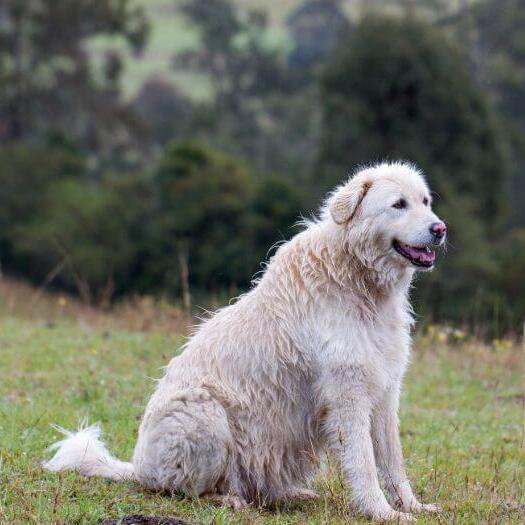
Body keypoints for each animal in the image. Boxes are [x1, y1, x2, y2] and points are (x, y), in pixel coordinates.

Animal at [44, 162, 446, 520]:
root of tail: (138, 468)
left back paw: (291, 494)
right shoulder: (348, 396)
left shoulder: (385, 393)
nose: (439, 229)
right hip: (205, 414)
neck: (358, 278)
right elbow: (364, 464)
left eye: (425, 201)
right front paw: (382, 513)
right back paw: (228, 500)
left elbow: (392, 461)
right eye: (398, 204)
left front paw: (412, 506)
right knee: (185, 490)